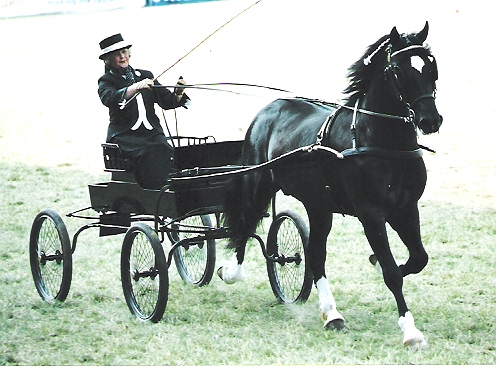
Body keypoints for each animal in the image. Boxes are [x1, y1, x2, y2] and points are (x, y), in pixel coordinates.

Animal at [220, 21, 442, 350]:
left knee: (315, 256)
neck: (379, 141)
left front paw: (376, 262)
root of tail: (270, 109)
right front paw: (411, 332)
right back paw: (231, 271)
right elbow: (393, 273)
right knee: (246, 223)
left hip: (319, 206)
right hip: (258, 183)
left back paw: (332, 314)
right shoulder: (371, 214)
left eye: (430, 67)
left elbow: (418, 258)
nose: (431, 120)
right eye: (399, 72)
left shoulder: (405, 209)